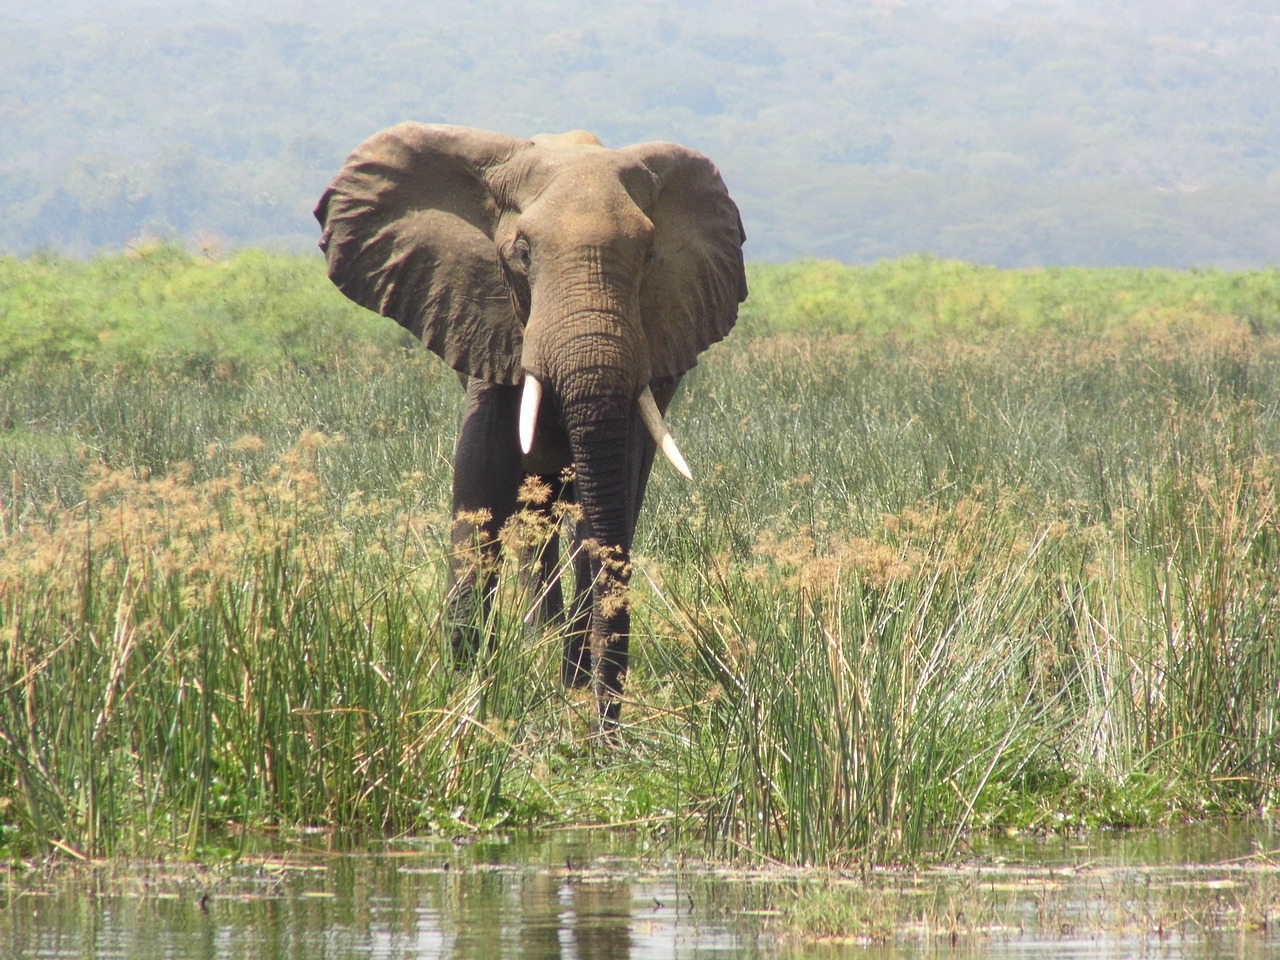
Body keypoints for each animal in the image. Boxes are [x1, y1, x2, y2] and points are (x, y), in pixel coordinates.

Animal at [313, 126, 747, 727]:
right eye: (522, 253)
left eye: (649, 255)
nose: (605, 737)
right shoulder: (484, 325)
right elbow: (480, 487)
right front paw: (467, 695)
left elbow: (601, 510)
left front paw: (570, 687)